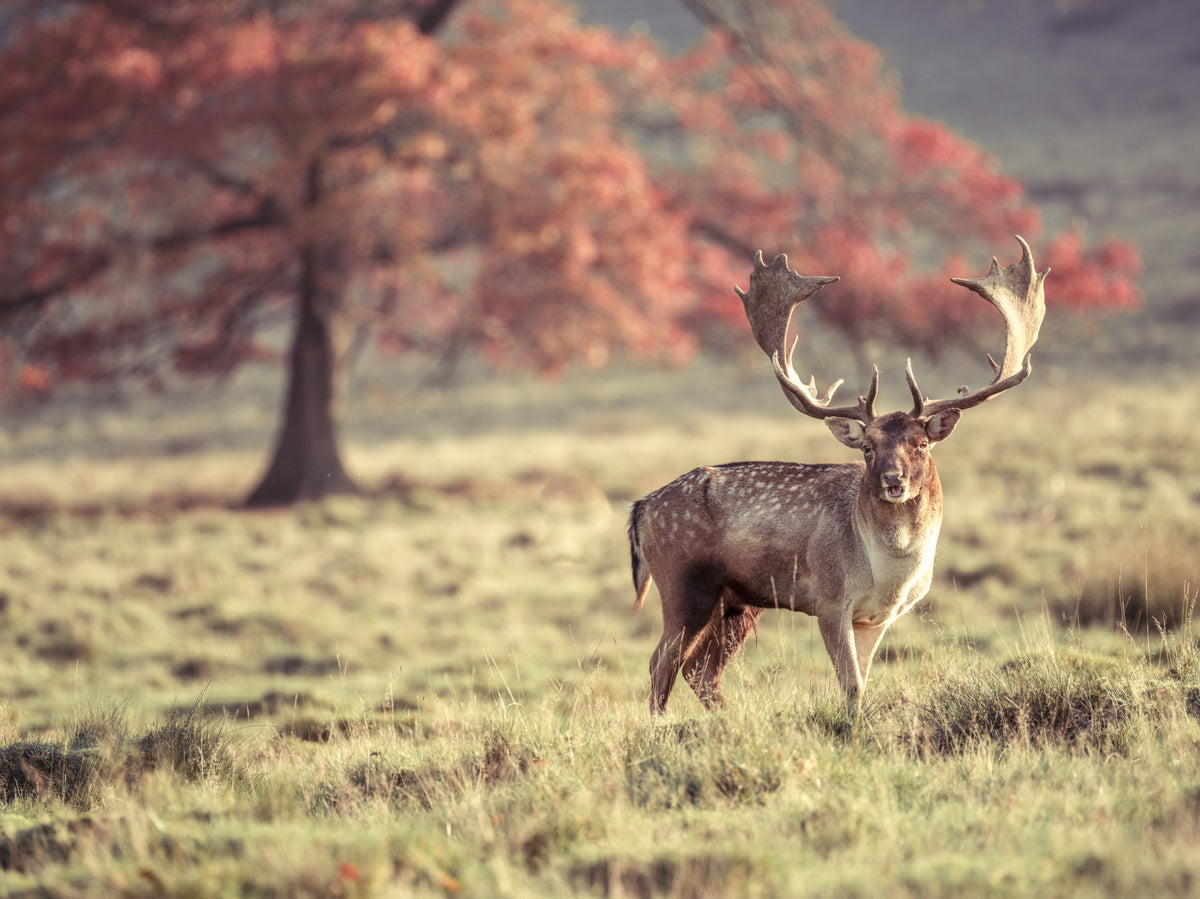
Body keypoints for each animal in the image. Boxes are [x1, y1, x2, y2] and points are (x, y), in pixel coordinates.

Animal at [627, 236, 1047, 714]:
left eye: (921, 444)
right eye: (868, 447)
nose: (893, 481)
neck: (889, 575)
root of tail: (640, 509)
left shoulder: (876, 618)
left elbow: (861, 683)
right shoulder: (828, 600)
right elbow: (851, 685)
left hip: (736, 602)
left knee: (700, 670)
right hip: (684, 583)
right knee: (662, 661)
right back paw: (661, 724)